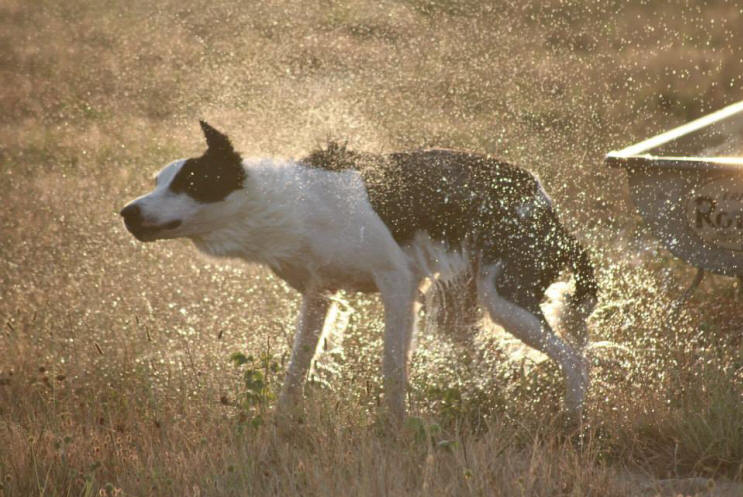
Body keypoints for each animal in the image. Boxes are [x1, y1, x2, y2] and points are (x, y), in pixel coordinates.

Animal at [122, 122, 600, 420]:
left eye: (189, 182)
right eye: (158, 181)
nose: (126, 212)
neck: (290, 204)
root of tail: (544, 199)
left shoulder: (398, 284)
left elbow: (392, 369)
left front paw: (394, 429)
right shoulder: (320, 295)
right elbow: (297, 369)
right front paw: (282, 423)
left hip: (505, 299)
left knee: (575, 359)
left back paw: (572, 423)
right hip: (459, 312)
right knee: (499, 364)